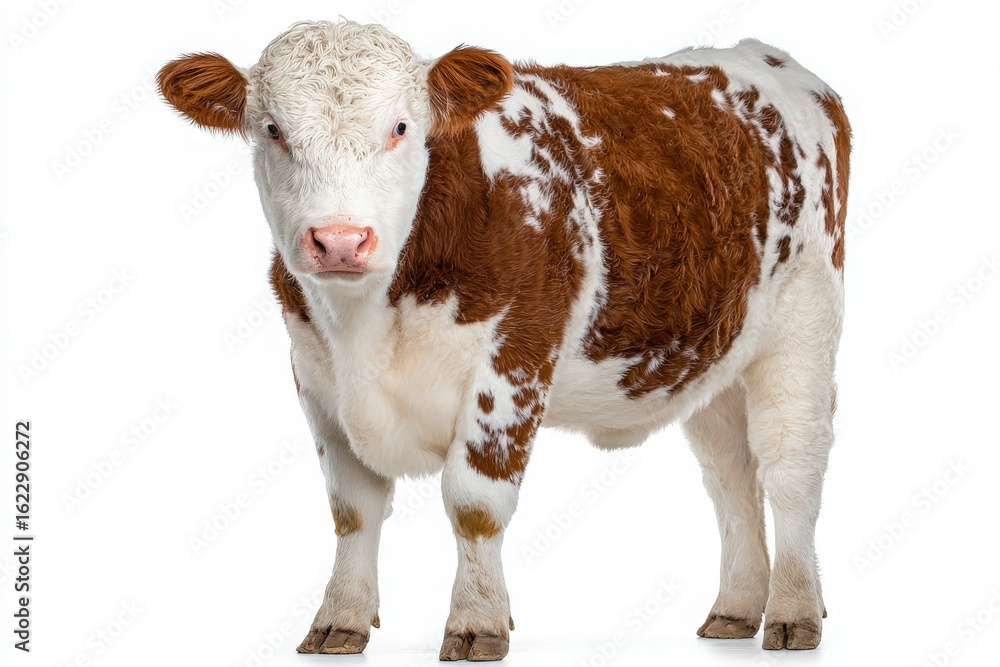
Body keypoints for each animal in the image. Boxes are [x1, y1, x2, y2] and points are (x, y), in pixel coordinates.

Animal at [158, 19, 850, 661]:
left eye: (402, 126)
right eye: (272, 129)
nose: (340, 240)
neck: (366, 324)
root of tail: (763, 55)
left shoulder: (515, 358)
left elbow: (474, 502)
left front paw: (477, 622)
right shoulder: (315, 375)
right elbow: (351, 508)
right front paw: (340, 620)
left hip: (804, 322)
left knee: (791, 471)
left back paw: (794, 612)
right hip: (711, 359)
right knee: (731, 477)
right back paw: (736, 610)